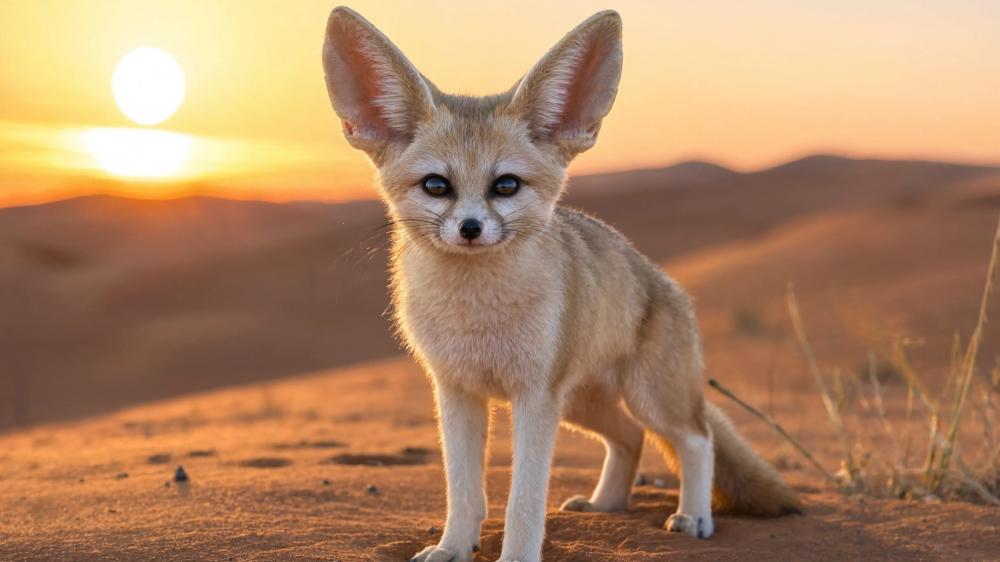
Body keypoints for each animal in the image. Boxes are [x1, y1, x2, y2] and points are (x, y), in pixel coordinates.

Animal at [322, 7, 800, 562]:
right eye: (437, 186)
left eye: (506, 185)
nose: (470, 229)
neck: (477, 318)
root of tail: (665, 281)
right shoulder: (456, 392)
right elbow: (463, 492)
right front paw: (453, 548)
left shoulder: (534, 398)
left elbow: (524, 501)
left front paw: (515, 556)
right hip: (582, 405)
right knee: (630, 438)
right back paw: (606, 506)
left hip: (645, 398)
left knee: (697, 438)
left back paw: (694, 516)